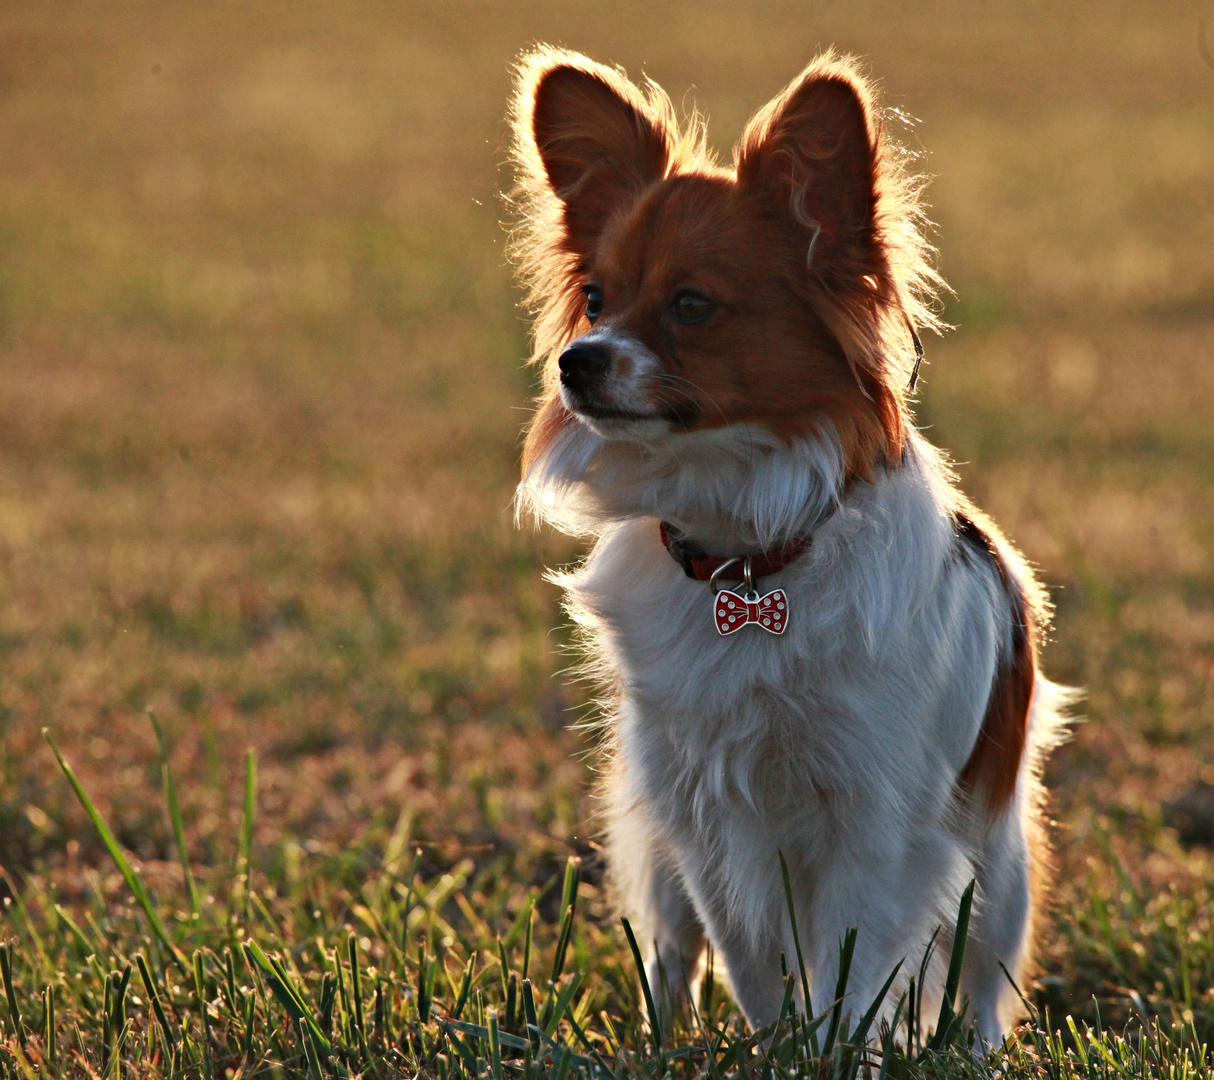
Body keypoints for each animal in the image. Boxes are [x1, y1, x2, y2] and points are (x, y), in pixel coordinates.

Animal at [507, 46, 1068, 1038]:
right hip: (661, 846)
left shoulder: (877, 823)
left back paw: (976, 1048)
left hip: (998, 862)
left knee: (985, 978)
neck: (744, 556)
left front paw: (840, 1048)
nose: (579, 360)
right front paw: (774, 1046)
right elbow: (754, 967)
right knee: (672, 952)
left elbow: (854, 976)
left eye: (692, 305)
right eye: (595, 300)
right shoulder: (705, 816)